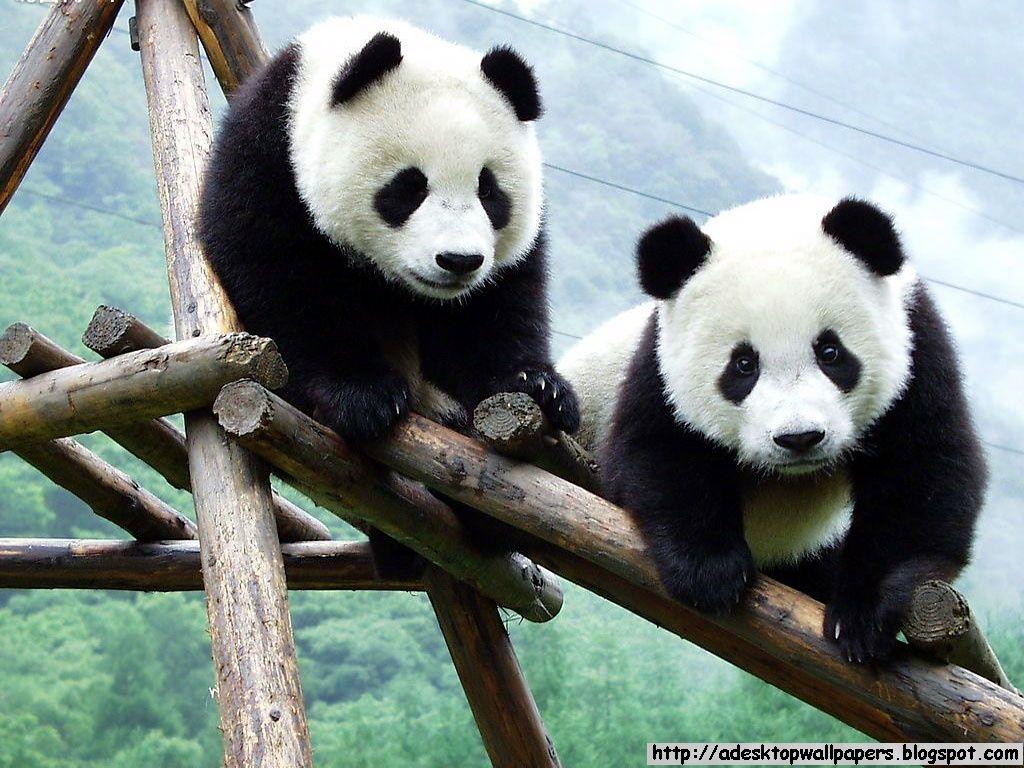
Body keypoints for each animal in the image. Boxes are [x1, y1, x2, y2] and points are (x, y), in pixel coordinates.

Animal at [198, 16, 579, 444]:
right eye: (410, 187)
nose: (458, 261)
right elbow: (282, 277)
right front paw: (362, 394)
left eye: (488, 190)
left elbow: (497, 306)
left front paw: (537, 384)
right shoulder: (269, 157)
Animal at [558, 194, 987, 662]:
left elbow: (922, 472)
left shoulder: (918, 346)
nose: (799, 438)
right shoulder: (659, 365)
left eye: (830, 352)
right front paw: (710, 572)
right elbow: (656, 451)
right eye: (744, 364)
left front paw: (862, 617)